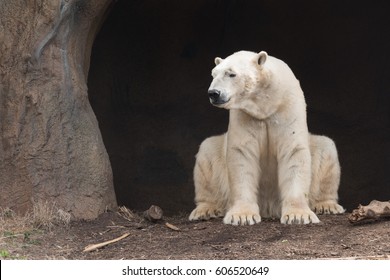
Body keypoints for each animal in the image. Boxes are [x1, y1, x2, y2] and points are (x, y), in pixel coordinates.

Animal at [189, 50, 344, 225]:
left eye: (231, 74)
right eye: (213, 74)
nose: (213, 93)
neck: (266, 104)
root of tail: (269, 209)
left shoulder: (287, 106)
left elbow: (294, 151)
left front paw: (298, 215)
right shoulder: (244, 115)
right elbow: (242, 154)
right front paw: (242, 216)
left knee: (327, 148)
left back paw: (327, 205)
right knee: (206, 154)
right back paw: (204, 210)